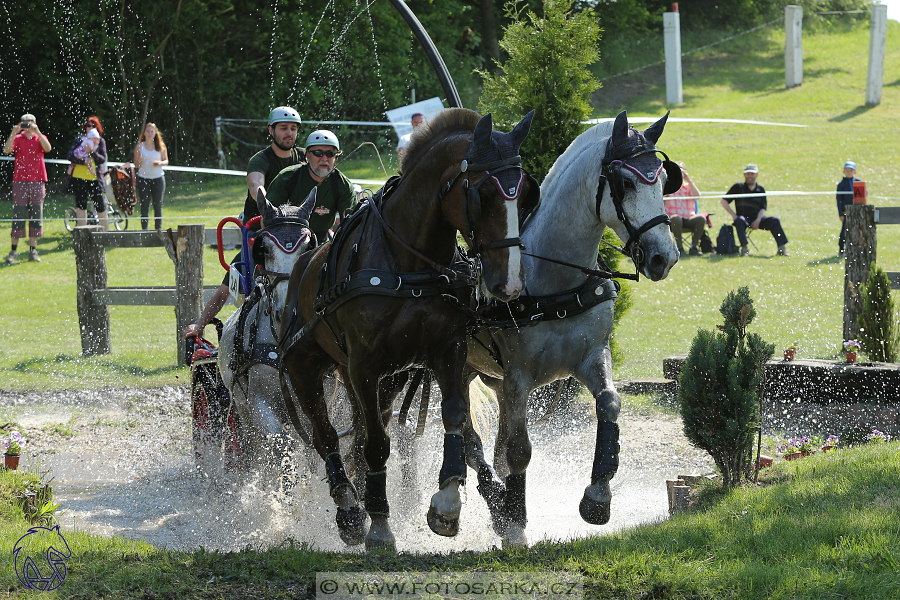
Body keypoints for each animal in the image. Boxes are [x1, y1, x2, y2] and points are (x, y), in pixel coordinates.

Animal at [278, 108, 536, 548]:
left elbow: (454, 416)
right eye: (482, 195)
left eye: (525, 195)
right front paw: (380, 525)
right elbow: (376, 444)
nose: (509, 283)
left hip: (387, 379)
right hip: (305, 368)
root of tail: (300, 269)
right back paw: (349, 510)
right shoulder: (364, 366)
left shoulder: (448, 351)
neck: (408, 263)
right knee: (326, 436)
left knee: (360, 434)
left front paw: (447, 502)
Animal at [464, 110, 684, 548]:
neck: (554, 281)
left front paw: (598, 497)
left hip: (492, 379)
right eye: (626, 183)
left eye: (664, 181)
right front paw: (516, 522)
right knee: (465, 439)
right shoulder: (518, 377)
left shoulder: (590, 356)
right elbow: (520, 450)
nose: (663, 257)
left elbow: (610, 404)